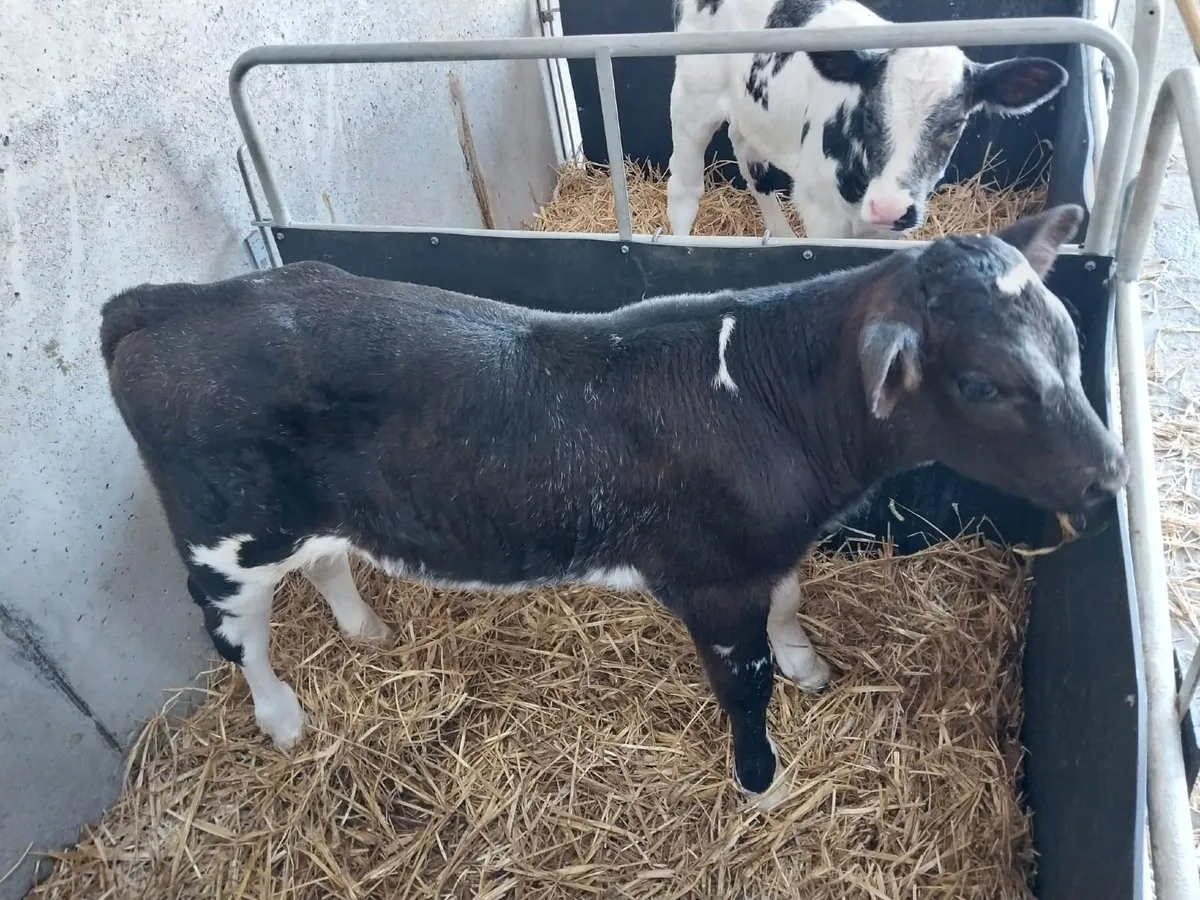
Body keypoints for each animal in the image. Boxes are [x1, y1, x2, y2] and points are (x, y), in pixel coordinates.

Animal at [100, 203, 1126, 806]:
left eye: (1069, 337)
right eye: (984, 385)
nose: (1110, 475)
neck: (764, 399)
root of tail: (165, 303)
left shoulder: (766, 551)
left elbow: (791, 604)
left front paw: (808, 665)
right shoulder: (711, 583)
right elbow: (744, 685)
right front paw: (760, 782)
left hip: (310, 511)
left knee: (323, 558)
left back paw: (367, 632)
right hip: (222, 532)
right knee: (238, 631)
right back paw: (282, 718)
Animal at [666, 0, 1069, 240]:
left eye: (954, 125)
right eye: (870, 114)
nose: (888, 206)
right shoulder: (823, 216)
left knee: (752, 160)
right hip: (692, 97)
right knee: (685, 187)